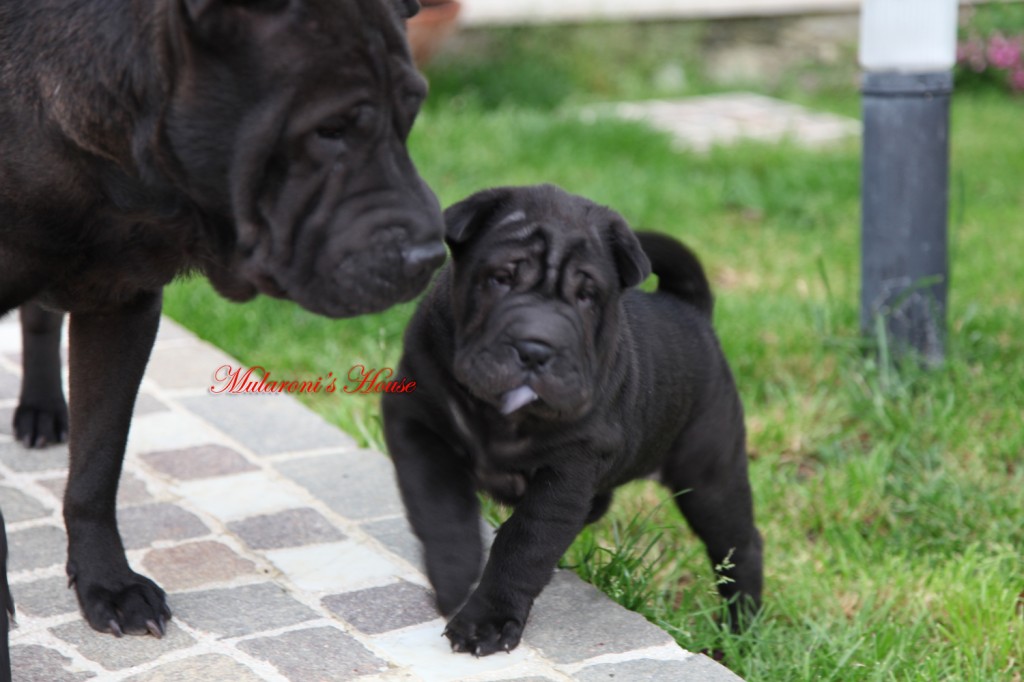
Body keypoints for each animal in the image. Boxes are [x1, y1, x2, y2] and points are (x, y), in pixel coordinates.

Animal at [2, 0, 446, 638]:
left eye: (410, 115)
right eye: (329, 131)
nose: (431, 256)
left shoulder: (124, 303)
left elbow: (96, 465)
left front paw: (107, 583)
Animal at [382, 184, 761, 655]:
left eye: (587, 296)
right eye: (501, 278)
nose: (535, 347)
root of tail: (692, 311)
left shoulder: (567, 470)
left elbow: (526, 542)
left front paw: (487, 619)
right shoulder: (416, 421)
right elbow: (439, 506)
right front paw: (454, 575)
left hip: (709, 472)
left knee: (739, 546)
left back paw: (741, 633)